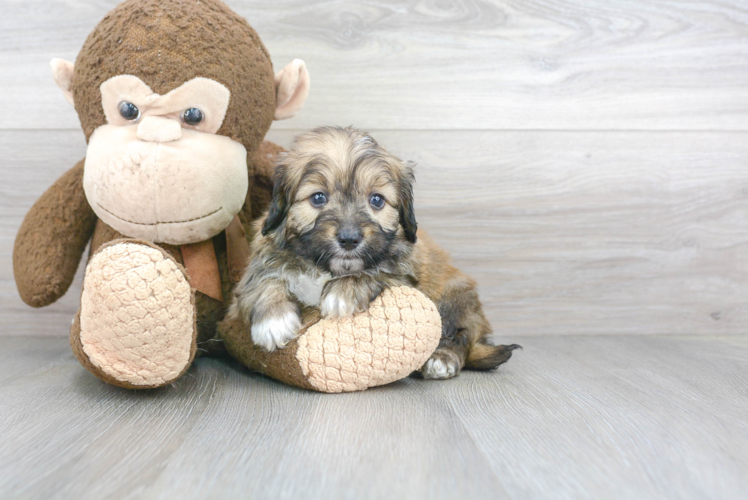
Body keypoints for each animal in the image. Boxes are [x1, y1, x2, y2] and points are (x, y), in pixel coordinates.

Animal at [232, 126, 520, 378]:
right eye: (318, 198)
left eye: (377, 200)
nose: (349, 239)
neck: (325, 267)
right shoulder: (260, 261)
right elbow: (264, 280)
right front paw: (273, 320)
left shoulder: (403, 274)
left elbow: (378, 271)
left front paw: (343, 291)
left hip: (455, 294)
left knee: (460, 333)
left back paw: (442, 359)